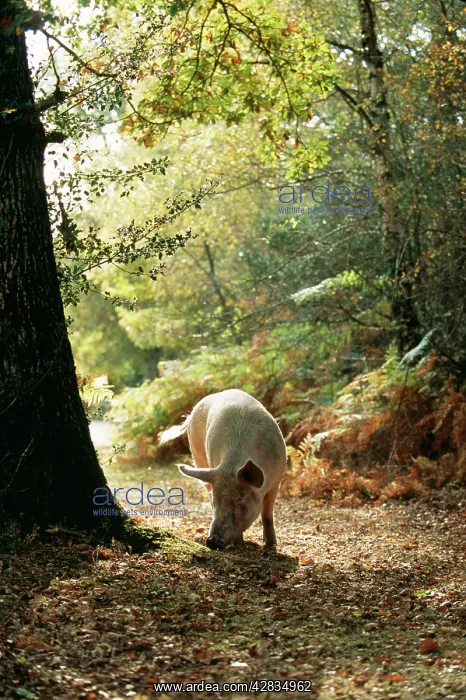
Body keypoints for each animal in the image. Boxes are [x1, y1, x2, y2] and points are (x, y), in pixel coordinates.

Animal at [158, 389, 287, 550]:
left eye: (239, 498)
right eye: (215, 501)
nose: (212, 541)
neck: (230, 467)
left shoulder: (277, 480)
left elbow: (267, 514)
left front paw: (271, 546)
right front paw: (239, 545)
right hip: (199, 458)